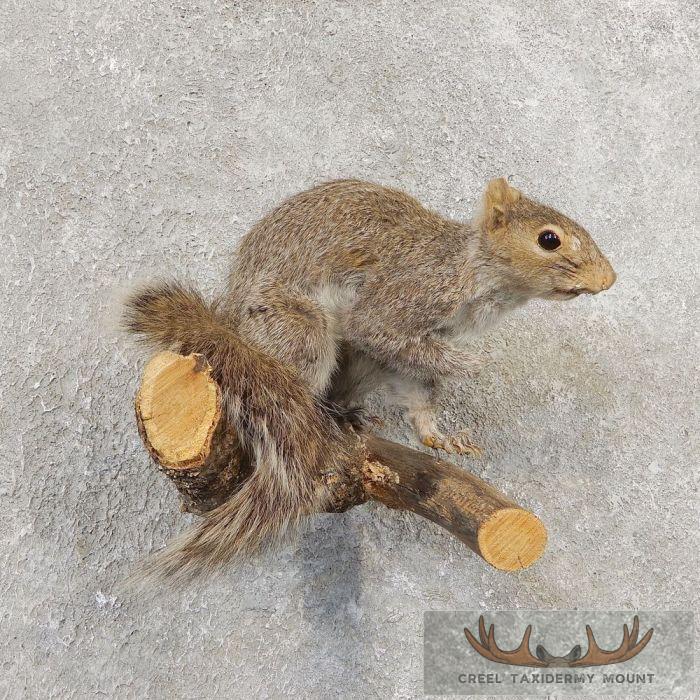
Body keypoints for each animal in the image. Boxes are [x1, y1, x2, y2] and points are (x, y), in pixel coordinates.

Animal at [123, 177, 616, 581]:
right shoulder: (407, 296)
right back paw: (317, 416)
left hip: (361, 367)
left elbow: (419, 390)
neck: (474, 273)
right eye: (548, 239)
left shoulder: (413, 355)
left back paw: (348, 413)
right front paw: (473, 364)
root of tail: (232, 333)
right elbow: (375, 328)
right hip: (299, 333)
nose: (609, 279)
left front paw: (439, 436)